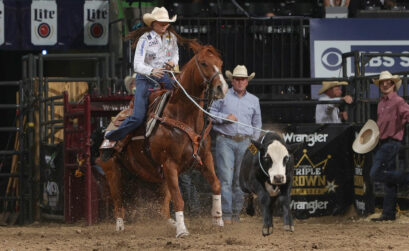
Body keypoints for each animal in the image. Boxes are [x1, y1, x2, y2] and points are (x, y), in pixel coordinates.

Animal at [97, 41, 228, 237]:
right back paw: (120, 226)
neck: (182, 114)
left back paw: (170, 222)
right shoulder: (170, 163)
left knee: (164, 204)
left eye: (220, 63)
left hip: (159, 175)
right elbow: (179, 199)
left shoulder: (205, 158)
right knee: (117, 199)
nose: (222, 88)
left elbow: (216, 184)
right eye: (204, 63)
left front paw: (218, 220)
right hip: (113, 170)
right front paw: (182, 231)